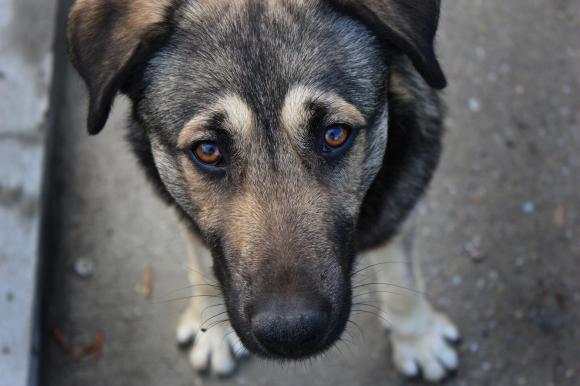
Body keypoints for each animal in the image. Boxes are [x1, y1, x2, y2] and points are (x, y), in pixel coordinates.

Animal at [67, 0, 458, 382]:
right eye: (208, 150)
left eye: (335, 134)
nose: (291, 334)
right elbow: (202, 263)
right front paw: (212, 328)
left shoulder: (400, 201)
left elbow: (403, 277)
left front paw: (419, 340)